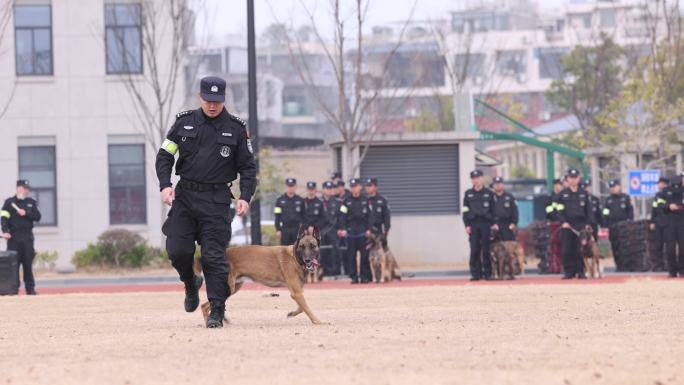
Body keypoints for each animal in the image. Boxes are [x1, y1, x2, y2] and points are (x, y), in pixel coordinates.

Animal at [195, 225, 326, 324]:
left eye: (313, 246)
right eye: (302, 247)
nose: (308, 260)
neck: (294, 257)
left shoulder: (298, 292)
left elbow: (302, 308)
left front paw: (291, 314)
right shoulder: (296, 293)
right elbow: (307, 309)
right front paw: (318, 321)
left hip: (233, 288)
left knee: (211, 304)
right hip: (228, 288)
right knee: (204, 306)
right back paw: (211, 322)